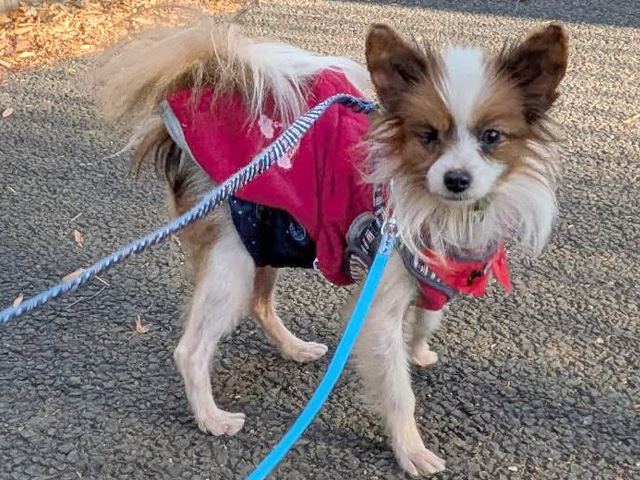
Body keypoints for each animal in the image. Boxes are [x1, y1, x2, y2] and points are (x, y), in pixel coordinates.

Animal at [99, 19, 568, 476]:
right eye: (428, 136)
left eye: (492, 136)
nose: (456, 179)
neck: (440, 211)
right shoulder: (379, 305)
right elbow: (398, 389)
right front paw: (410, 450)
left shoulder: (436, 275)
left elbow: (426, 320)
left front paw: (418, 352)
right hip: (232, 259)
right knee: (192, 349)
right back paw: (211, 417)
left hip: (265, 238)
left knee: (259, 303)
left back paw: (294, 348)